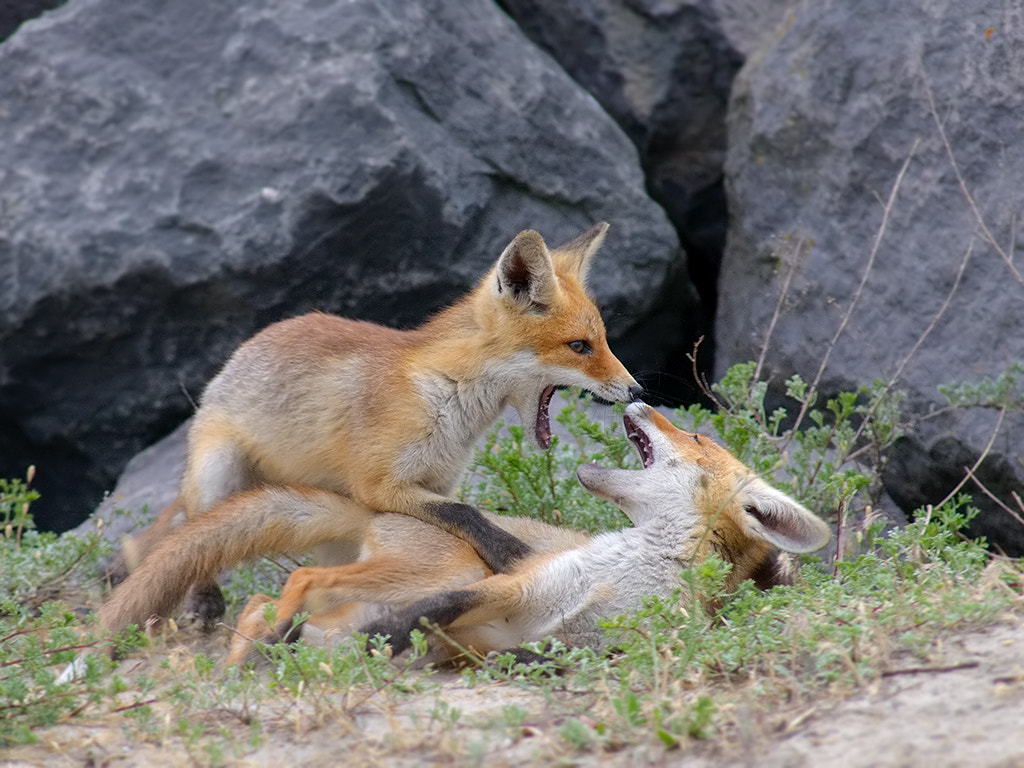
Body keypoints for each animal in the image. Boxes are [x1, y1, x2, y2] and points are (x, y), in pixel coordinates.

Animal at [97, 222, 638, 638]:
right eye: (579, 346)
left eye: (603, 341)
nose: (635, 390)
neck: (446, 398)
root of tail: (235, 359)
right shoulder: (379, 485)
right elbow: (466, 515)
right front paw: (513, 553)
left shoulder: (434, 483)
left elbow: (455, 516)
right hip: (218, 472)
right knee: (192, 527)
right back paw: (204, 602)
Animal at [226, 403, 831, 667]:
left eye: (698, 435)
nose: (639, 398)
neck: (625, 574)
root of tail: (393, 502)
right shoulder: (514, 587)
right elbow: (436, 611)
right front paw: (390, 637)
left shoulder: (600, 645)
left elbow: (531, 657)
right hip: (441, 569)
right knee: (279, 599)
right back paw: (251, 659)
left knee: (280, 601)